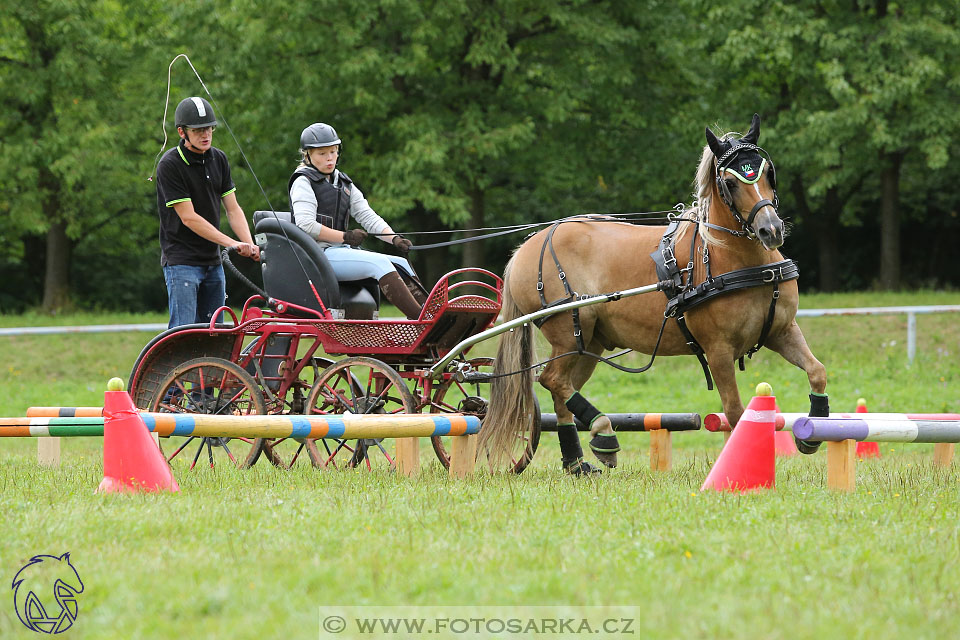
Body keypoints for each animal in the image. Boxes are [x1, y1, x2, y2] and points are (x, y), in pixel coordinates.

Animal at [484, 114, 828, 476]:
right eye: (730, 183)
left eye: (767, 173)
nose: (770, 230)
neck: (738, 261)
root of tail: (529, 244)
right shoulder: (718, 350)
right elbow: (735, 412)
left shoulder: (782, 330)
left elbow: (817, 372)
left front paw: (812, 432)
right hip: (566, 332)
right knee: (552, 379)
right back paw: (603, 432)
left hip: (588, 343)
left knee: (561, 388)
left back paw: (578, 460)